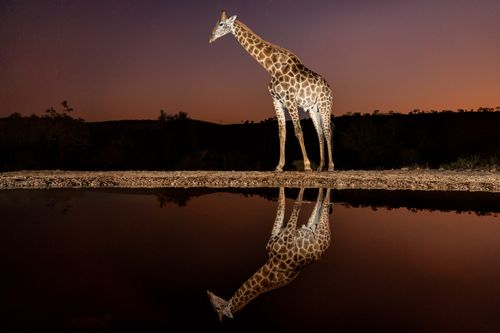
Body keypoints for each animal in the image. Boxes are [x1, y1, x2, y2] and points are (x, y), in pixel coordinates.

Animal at [206, 187, 332, 320]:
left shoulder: (280, 236)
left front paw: (284, 181)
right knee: (322, 203)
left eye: (216, 307)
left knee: (324, 201)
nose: (208, 293)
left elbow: (283, 204)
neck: (272, 263)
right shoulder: (285, 236)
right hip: (317, 228)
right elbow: (291, 204)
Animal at [209, 9, 334, 171]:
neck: (272, 68)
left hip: (325, 105)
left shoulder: (290, 99)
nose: (211, 38)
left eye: (221, 24)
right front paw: (279, 166)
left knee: (328, 131)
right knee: (320, 133)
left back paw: (330, 167)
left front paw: (306, 166)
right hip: (313, 108)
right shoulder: (276, 101)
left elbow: (298, 131)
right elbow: (281, 133)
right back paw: (320, 167)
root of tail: (329, 88)